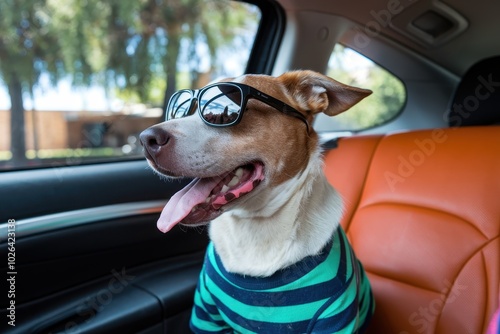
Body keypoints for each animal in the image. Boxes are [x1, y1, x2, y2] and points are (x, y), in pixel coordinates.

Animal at [139, 69, 374, 332]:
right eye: (180, 108)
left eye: (228, 112)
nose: (146, 139)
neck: (253, 227)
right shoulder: (206, 313)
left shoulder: (336, 318)